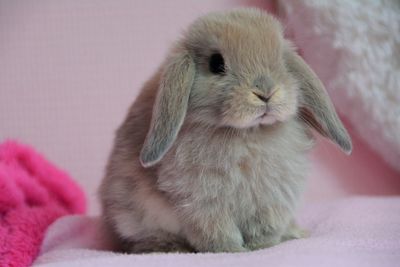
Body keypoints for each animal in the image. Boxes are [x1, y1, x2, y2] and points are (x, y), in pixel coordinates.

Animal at [98, 7, 352, 254]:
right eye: (216, 63)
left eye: (281, 59)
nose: (266, 92)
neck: (248, 133)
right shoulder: (203, 201)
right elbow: (217, 230)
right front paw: (232, 250)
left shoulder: (271, 197)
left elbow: (265, 228)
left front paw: (263, 246)